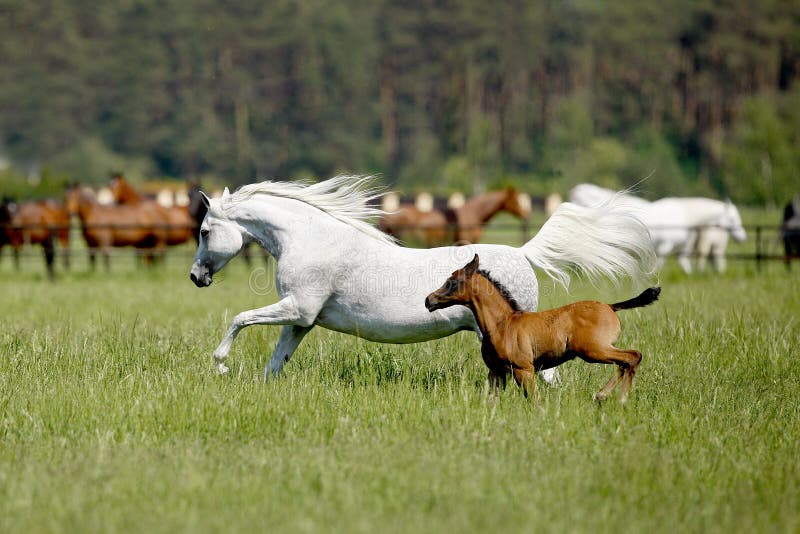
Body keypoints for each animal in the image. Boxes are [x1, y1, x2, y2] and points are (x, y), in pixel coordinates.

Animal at [428, 255, 660, 402]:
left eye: (453, 282)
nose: (428, 300)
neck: (502, 324)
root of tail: (611, 306)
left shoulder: (523, 369)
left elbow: (535, 401)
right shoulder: (496, 371)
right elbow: (490, 401)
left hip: (593, 350)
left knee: (632, 356)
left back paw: (615, 399)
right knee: (626, 362)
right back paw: (607, 397)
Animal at [568, 185, 744, 276]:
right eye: (733, 218)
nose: (742, 238)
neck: (683, 215)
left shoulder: (681, 247)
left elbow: (683, 262)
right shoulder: (666, 245)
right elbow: (660, 261)